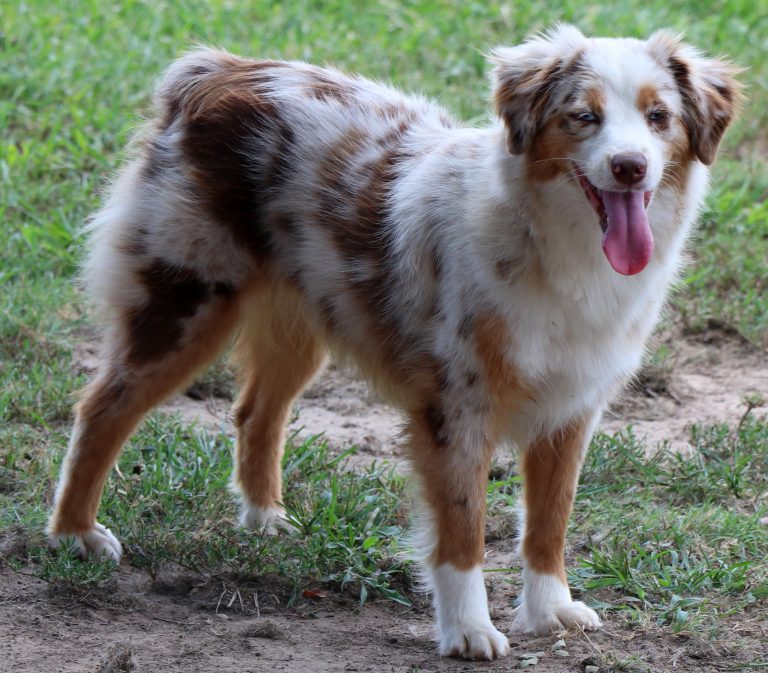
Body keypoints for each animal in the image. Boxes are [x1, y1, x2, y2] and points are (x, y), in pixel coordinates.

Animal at [48, 23, 736, 660]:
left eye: (658, 116)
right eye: (583, 117)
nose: (630, 166)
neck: (555, 247)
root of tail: (215, 72)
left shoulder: (572, 406)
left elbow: (549, 522)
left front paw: (549, 611)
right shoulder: (458, 408)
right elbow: (463, 528)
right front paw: (467, 631)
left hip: (300, 326)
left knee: (255, 412)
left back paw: (265, 518)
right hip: (186, 307)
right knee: (103, 408)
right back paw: (75, 534)